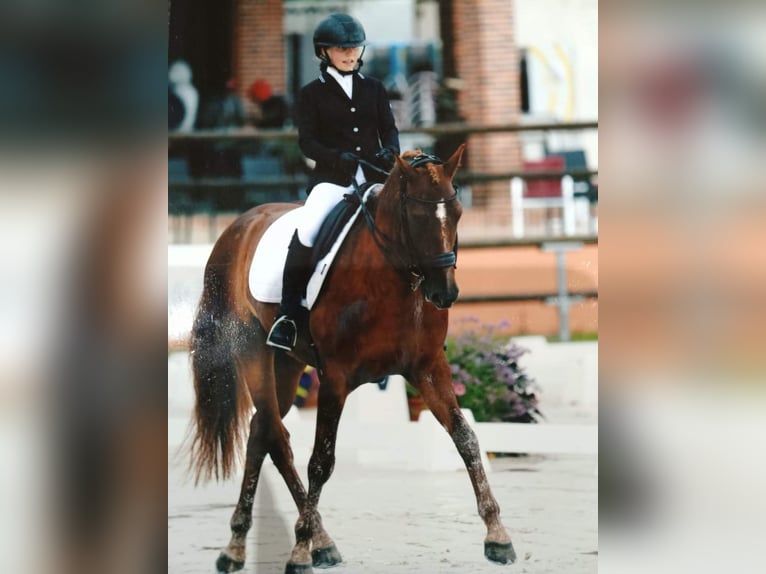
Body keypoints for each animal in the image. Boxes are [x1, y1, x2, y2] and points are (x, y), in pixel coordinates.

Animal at [189, 146, 520, 572]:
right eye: (417, 216)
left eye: (458, 212)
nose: (445, 293)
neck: (392, 280)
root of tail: (237, 227)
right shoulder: (335, 378)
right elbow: (321, 460)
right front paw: (299, 551)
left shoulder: (429, 368)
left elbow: (466, 439)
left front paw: (497, 536)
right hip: (253, 352)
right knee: (276, 436)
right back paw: (296, 541)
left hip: (287, 364)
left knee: (262, 431)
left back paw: (270, 544)